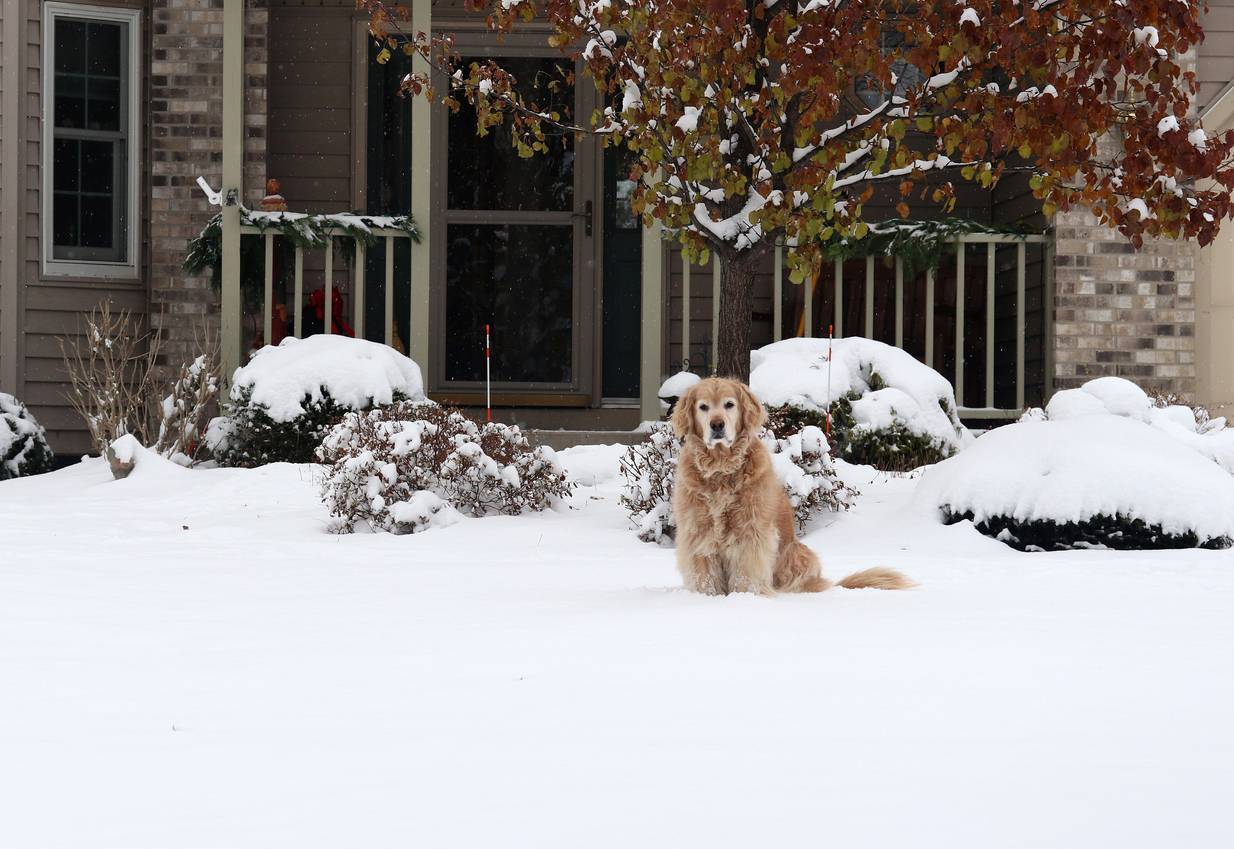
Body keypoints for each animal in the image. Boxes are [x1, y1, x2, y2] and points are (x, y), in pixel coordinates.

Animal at [671, 377, 913, 597]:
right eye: (703, 407)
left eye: (729, 404)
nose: (717, 425)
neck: (721, 468)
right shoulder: (698, 532)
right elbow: (704, 576)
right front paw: (706, 598)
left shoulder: (751, 533)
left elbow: (746, 576)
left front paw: (744, 598)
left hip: (799, 554)